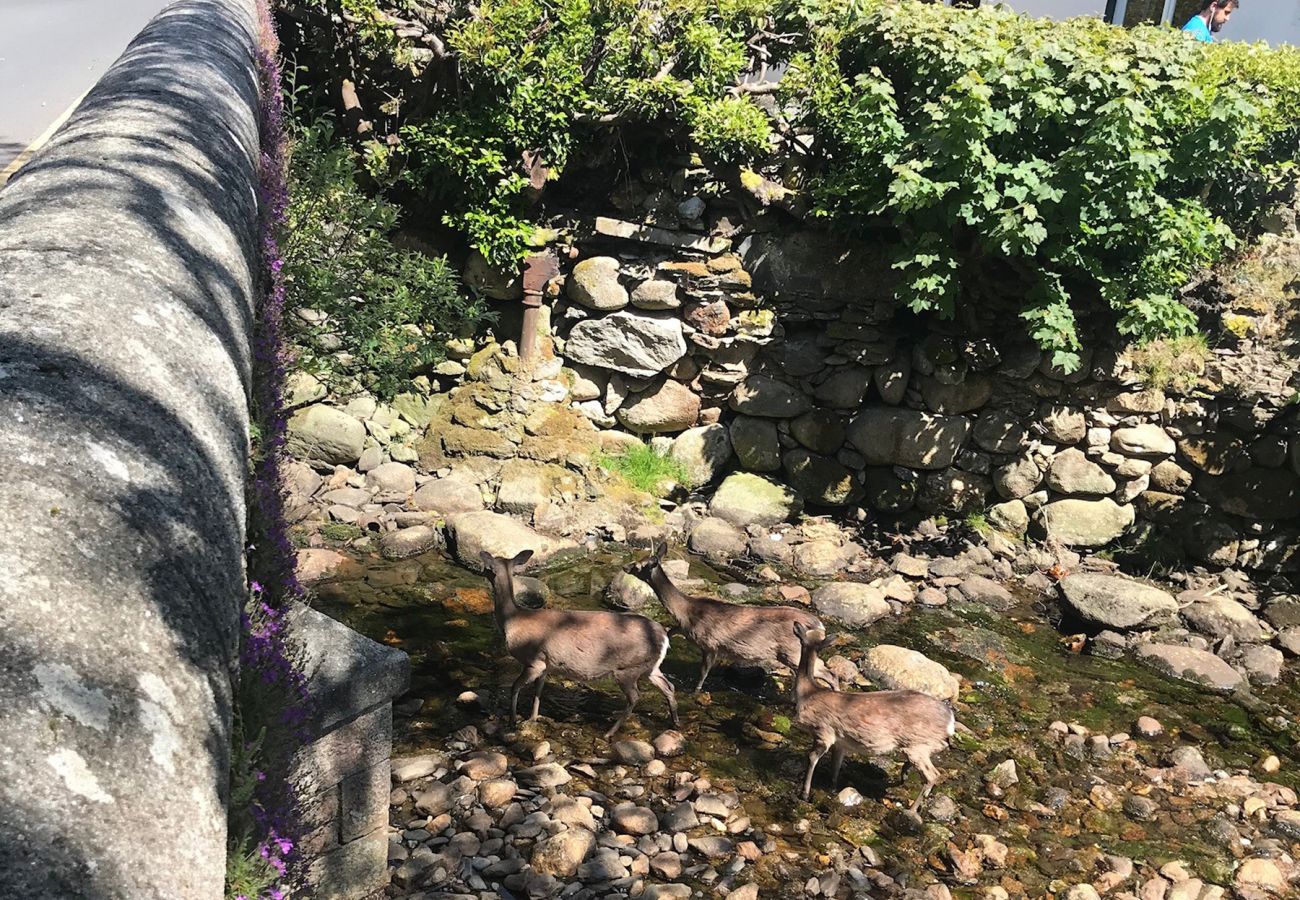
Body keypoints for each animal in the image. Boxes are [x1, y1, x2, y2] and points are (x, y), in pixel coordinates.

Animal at [478, 548, 681, 738]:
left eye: (488, 567)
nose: (481, 571)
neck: (513, 619)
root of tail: (664, 636)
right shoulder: (546, 664)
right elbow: (538, 691)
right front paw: (532, 718)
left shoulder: (533, 660)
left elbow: (515, 687)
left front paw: (512, 721)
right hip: (649, 667)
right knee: (669, 686)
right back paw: (675, 723)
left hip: (628, 668)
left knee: (635, 697)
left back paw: (609, 732)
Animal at [621, 541, 832, 697]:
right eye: (638, 559)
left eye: (638, 565)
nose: (625, 566)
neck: (687, 612)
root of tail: (819, 624)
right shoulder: (687, 631)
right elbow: (670, 631)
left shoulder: (710, 643)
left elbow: (703, 673)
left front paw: (694, 692)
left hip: (792, 651)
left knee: (826, 672)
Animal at [790, 621, 956, 811]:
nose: (797, 624)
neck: (808, 693)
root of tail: (950, 721)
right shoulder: (841, 741)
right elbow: (836, 765)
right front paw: (832, 787)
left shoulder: (823, 731)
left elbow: (811, 758)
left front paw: (804, 794)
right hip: (921, 745)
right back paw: (904, 776)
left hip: (919, 744)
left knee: (933, 775)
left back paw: (911, 810)